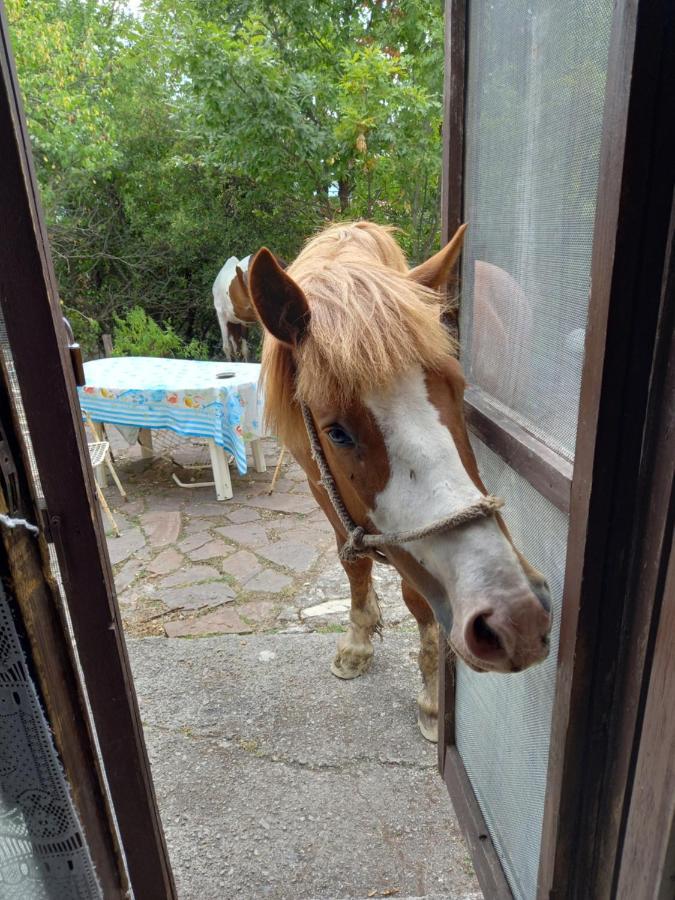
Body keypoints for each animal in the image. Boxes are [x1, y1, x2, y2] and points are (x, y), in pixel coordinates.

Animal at [246, 221, 552, 740]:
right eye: (336, 432)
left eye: (459, 388)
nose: (517, 615)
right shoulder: (322, 489)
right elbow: (353, 565)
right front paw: (357, 641)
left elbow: (417, 598)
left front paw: (431, 697)